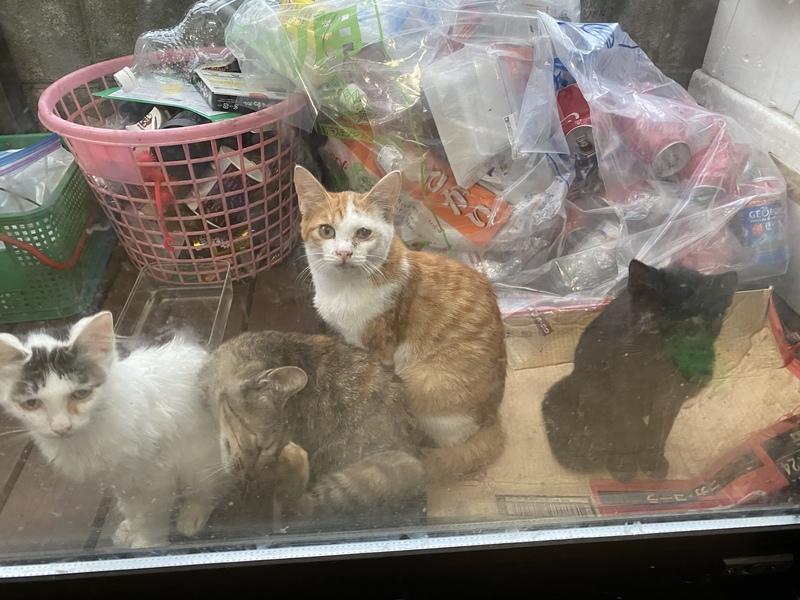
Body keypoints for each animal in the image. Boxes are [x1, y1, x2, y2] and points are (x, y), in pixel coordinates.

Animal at [0, 312, 230, 548]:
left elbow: (152, 517)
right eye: (31, 404)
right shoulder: (122, 480)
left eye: (81, 394)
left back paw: (192, 516)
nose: (61, 427)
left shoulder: (155, 477)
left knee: (207, 488)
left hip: (201, 458)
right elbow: (134, 509)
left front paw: (147, 544)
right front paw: (132, 528)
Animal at [200, 330, 424, 522]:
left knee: (298, 510)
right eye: (262, 446)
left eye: (267, 449)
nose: (250, 476)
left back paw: (295, 460)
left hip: (393, 467)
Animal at [293, 166, 507, 482]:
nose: (344, 253)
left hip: (423, 382)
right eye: (326, 230)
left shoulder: (378, 348)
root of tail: (494, 418)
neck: (342, 289)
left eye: (363, 233)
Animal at [541, 259, 738, 482]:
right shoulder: (622, 389)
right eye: (653, 326)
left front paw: (652, 461)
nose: (667, 354)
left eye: (691, 334)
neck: (654, 374)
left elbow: (660, 429)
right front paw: (624, 464)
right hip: (593, 384)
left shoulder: (672, 395)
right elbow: (628, 426)